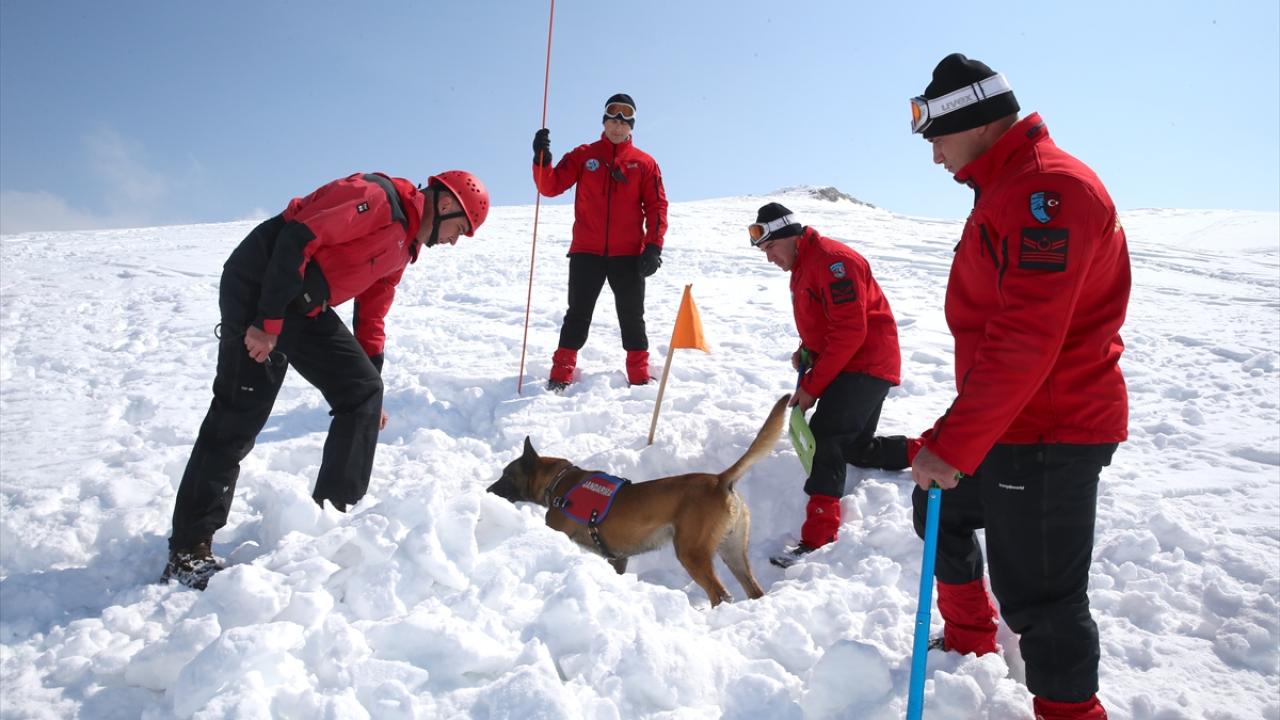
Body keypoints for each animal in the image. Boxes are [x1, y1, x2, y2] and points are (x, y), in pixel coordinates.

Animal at [486, 392, 788, 604]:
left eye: (505, 475)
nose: (487, 491)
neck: (558, 482)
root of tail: (719, 480)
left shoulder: (557, 527)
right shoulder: (618, 559)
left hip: (691, 552)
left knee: (720, 594)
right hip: (733, 551)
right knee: (753, 590)